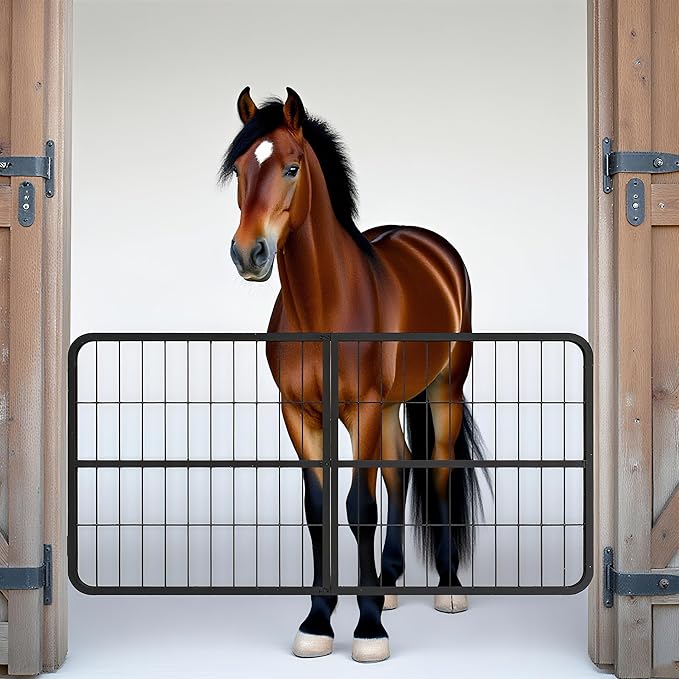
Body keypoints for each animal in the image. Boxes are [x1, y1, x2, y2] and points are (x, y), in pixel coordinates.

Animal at [222, 87, 484, 663]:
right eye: (239, 170)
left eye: (292, 167)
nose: (248, 254)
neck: (324, 309)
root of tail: (434, 249)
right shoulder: (300, 415)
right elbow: (318, 508)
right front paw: (319, 620)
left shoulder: (360, 410)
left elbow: (359, 507)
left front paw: (367, 630)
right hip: (388, 408)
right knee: (400, 467)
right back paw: (387, 585)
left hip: (443, 393)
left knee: (436, 467)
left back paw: (448, 588)